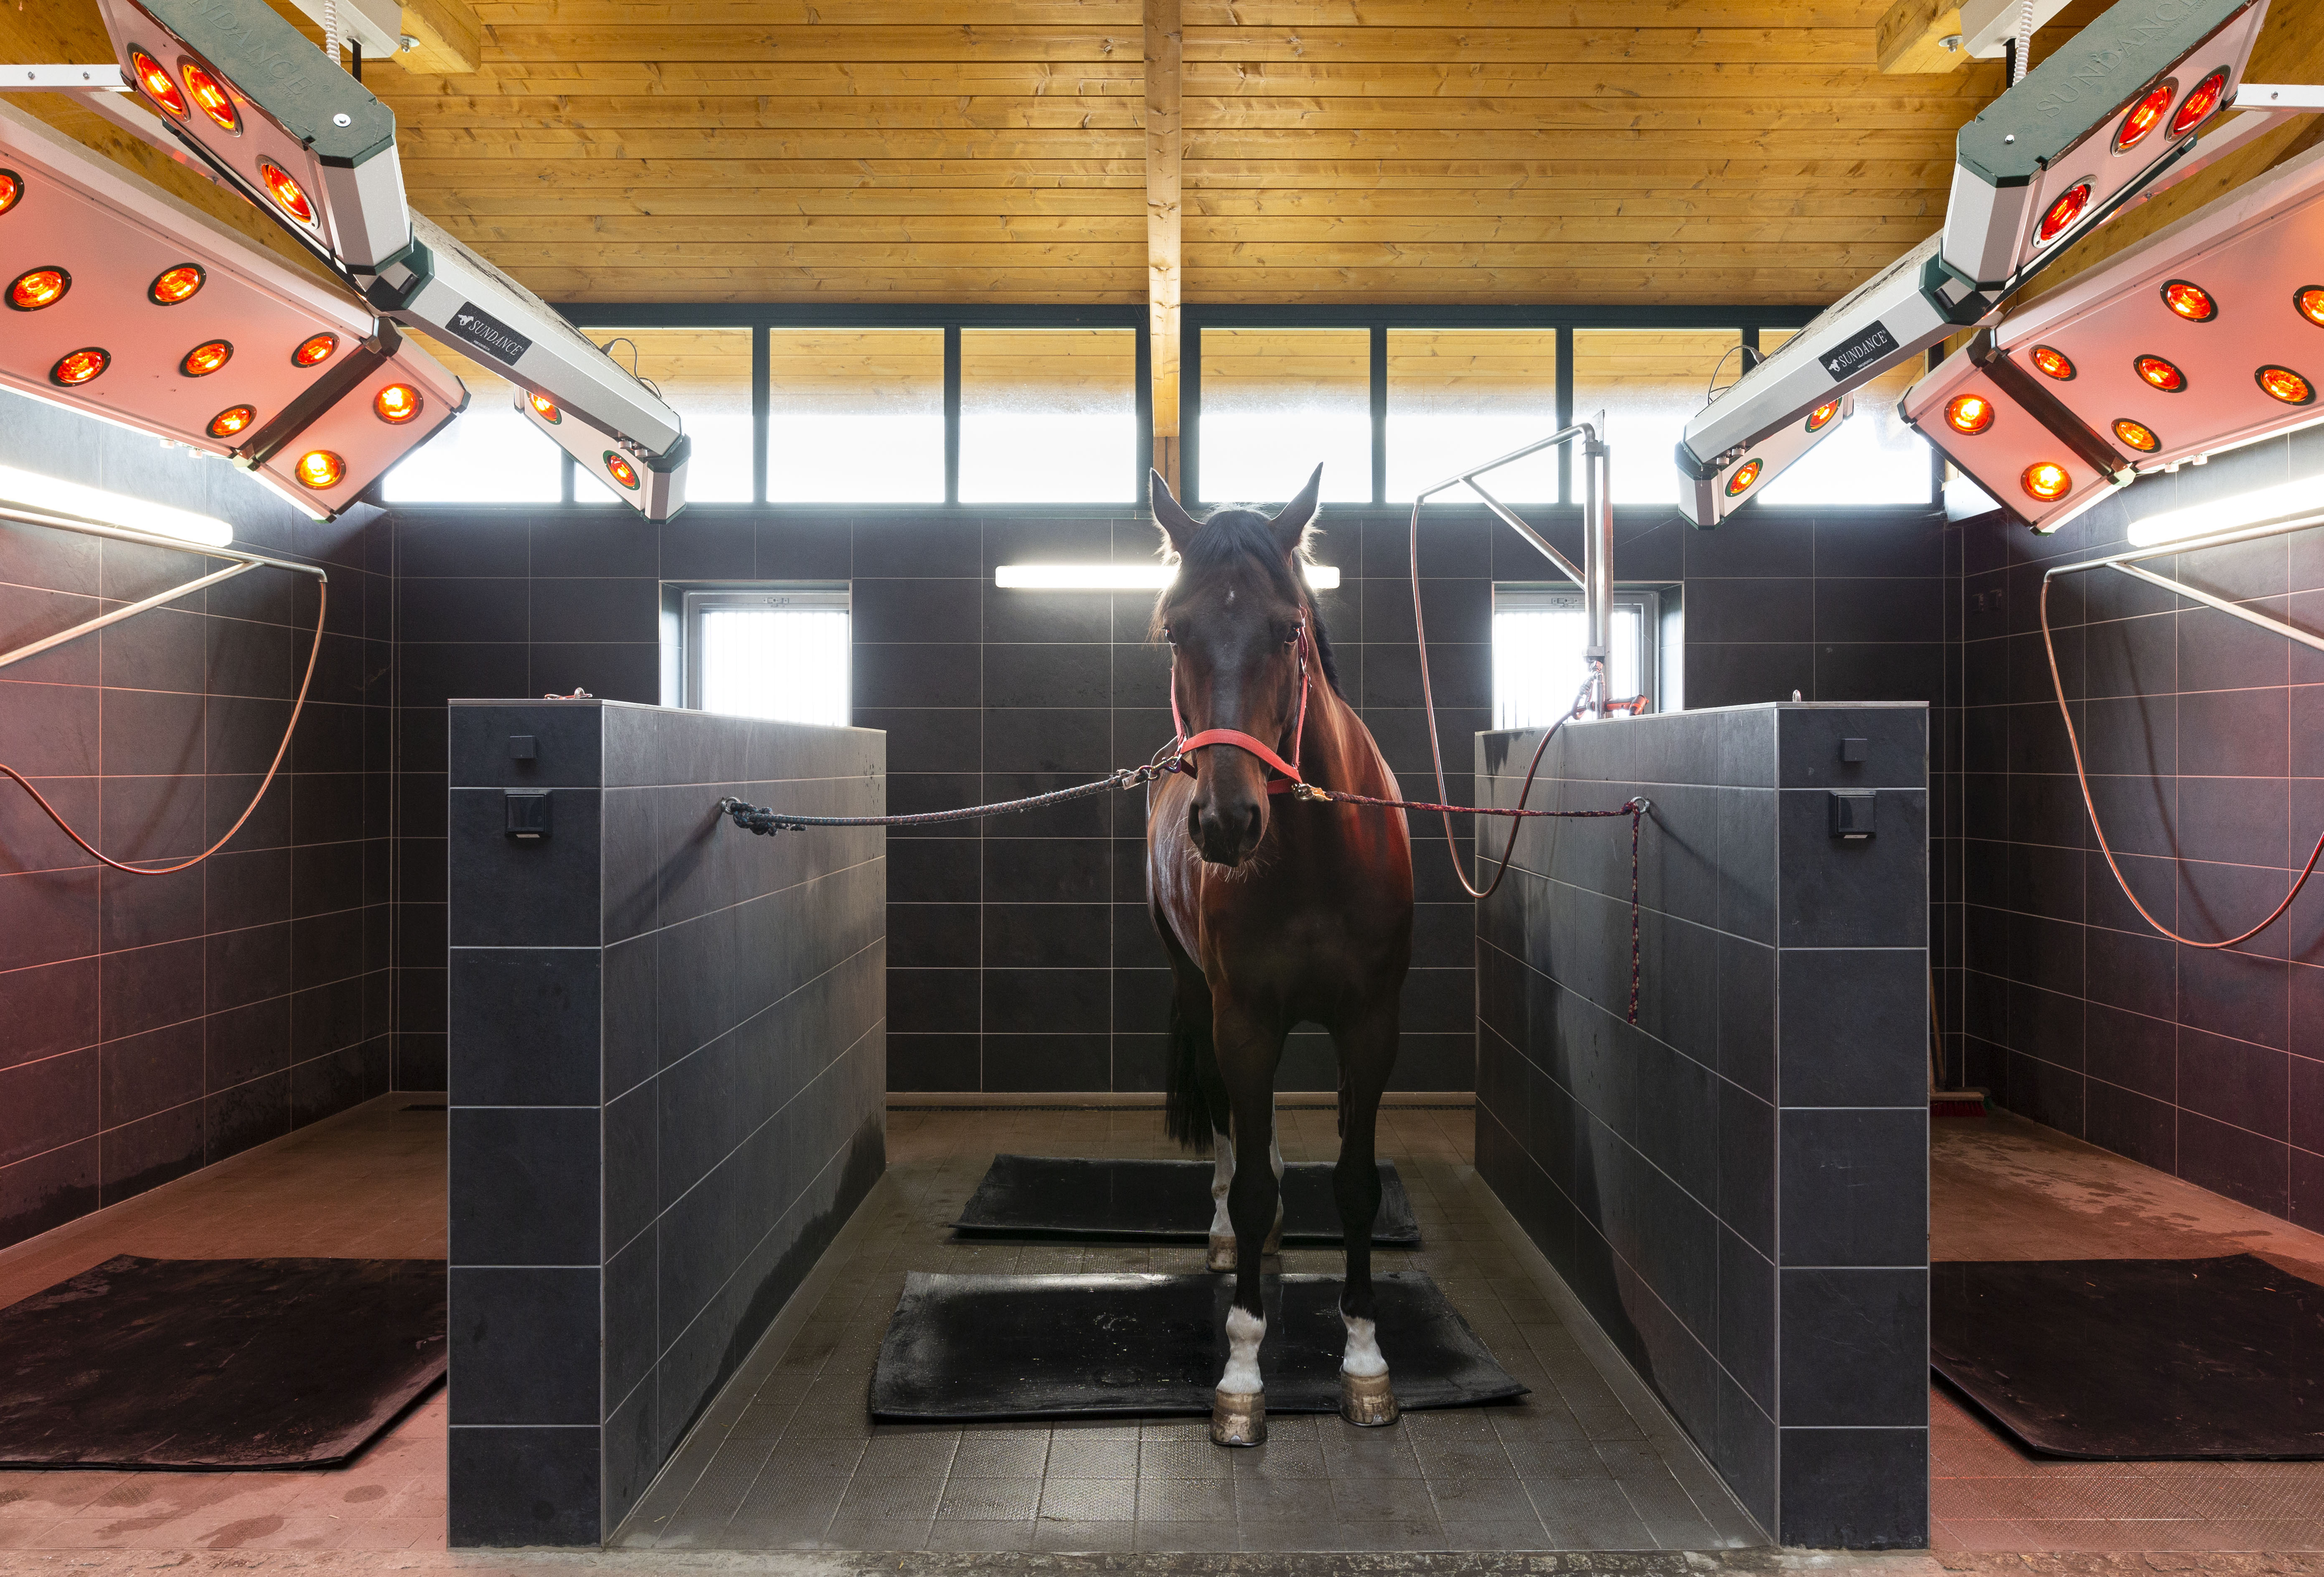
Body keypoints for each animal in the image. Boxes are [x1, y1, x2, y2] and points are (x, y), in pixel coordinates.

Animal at [1143, 462, 1413, 1449]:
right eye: (1174, 629)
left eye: (1287, 627)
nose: (1226, 821)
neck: (1313, 855)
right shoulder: (1245, 1023)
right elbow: (1254, 1181)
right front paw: (1244, 1372)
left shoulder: (1370, 1023)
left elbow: (1358, 1183)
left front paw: (1366, 1362)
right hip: (1197, 995)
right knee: (1231, 1131)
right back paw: (1229, 1231)